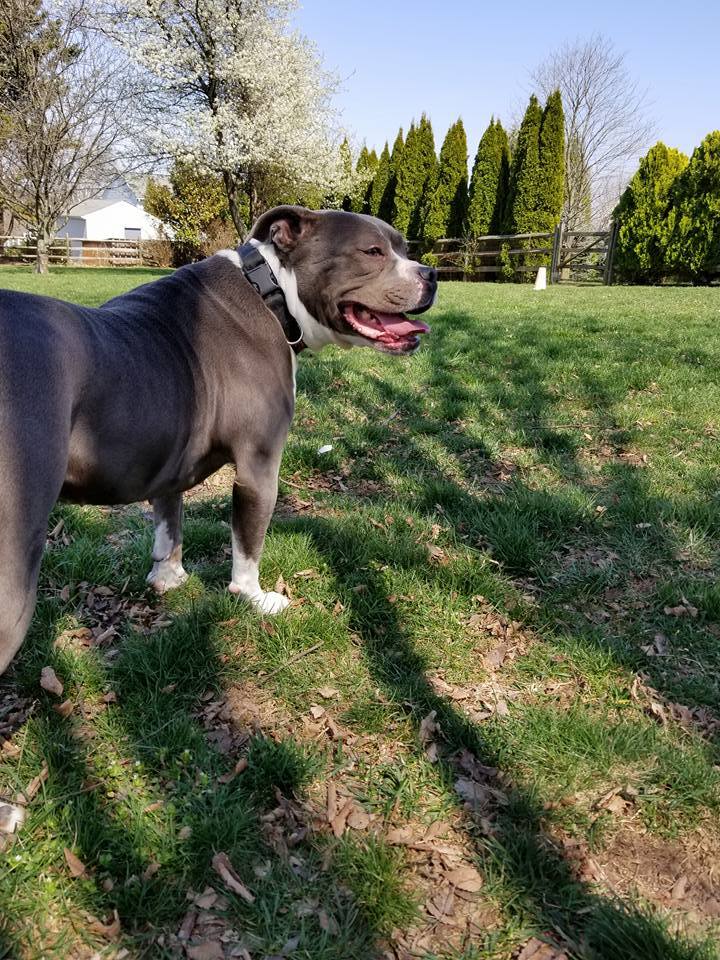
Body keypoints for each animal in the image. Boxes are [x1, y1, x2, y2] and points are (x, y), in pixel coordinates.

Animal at [0, 208, 436, 676]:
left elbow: (169, 524)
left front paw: (167, 578)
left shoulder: (169, 457)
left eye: (404, 248)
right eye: (372, 251)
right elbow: (248, 543)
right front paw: (254, 597)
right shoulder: (259, 469)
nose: (431, 274)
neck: (271, 291)